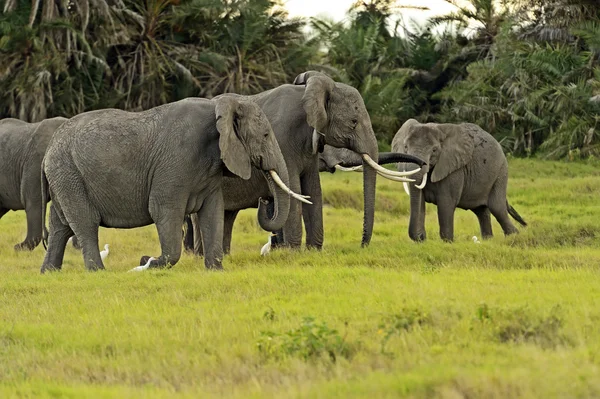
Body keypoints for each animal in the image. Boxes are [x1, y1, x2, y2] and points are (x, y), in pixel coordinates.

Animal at [183, 70, 422, 256]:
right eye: (353, 122)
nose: (362, 244)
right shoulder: (281, 139)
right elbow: (294, 188)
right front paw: (293, 251)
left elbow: (313, 188)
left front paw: (314, 251)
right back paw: (199, 256)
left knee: (228, 215)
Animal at [390, 119, 524, 244]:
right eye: (405, 147)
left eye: (434, 150)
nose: (422, 237)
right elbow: (420, 201)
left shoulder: (454, 169)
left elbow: (446, 203)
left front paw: (447, 242)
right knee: (481, 211)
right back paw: (488, 240)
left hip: (500, 172)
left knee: (497, 208)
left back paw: (514, 237)